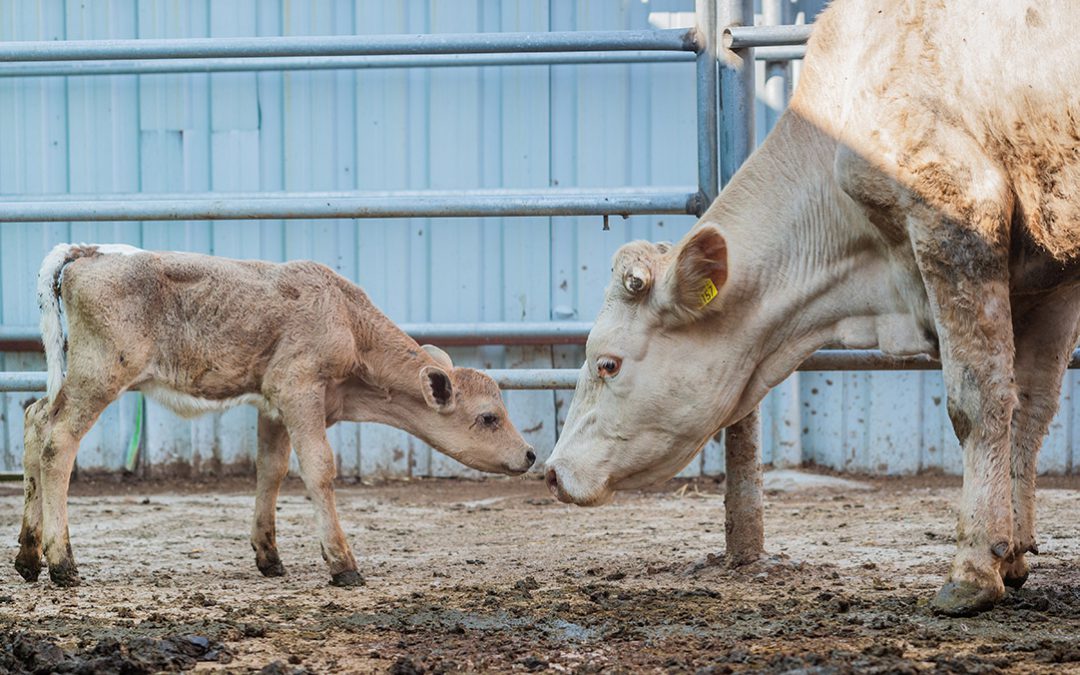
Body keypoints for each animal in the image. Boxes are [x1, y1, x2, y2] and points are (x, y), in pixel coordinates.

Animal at [544, 0, 1080, 613]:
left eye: (607, 363)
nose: (553, 472)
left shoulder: (956, 216)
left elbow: (978, 402)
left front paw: (973, 569)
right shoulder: (1050, 277)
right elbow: (1030, 408)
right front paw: (1011, 556)